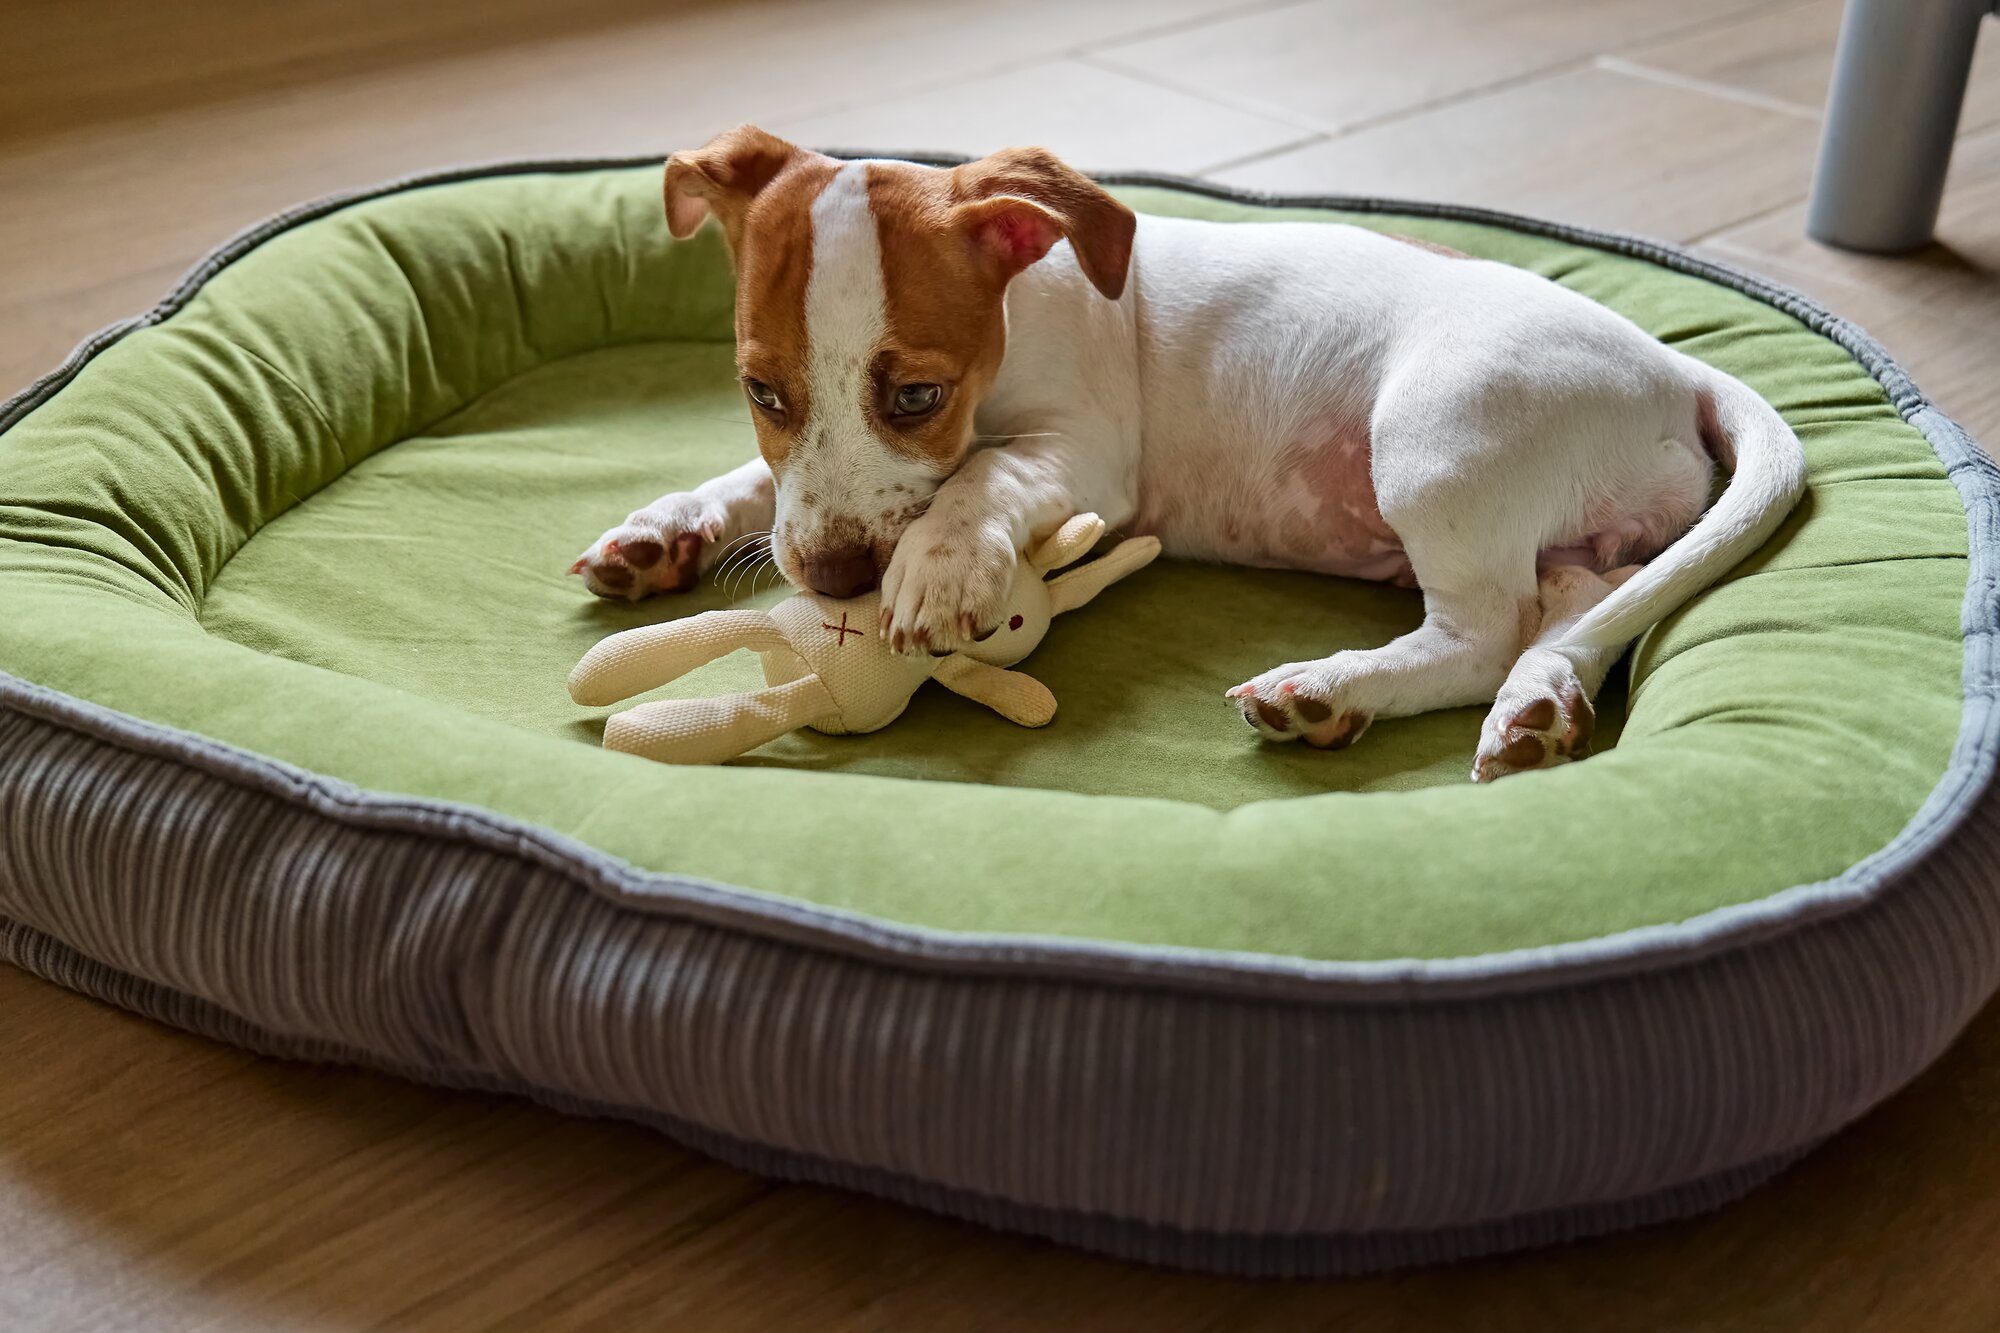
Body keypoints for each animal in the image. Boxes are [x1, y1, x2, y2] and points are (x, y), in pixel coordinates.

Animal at [572, 124, 1808, 780]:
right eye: (760, 392)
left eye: (919, 394)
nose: (833, 585)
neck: (1025, 312)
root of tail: (1675, 369)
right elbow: (758, 484)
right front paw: (663, 527)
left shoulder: (1084, 457)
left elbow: (979, 476)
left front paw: (942, 561)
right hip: (1566, 532)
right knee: (1577, 612)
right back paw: (1534, 702)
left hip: (1438, 440)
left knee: (1479, 634)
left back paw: (1327, 688)